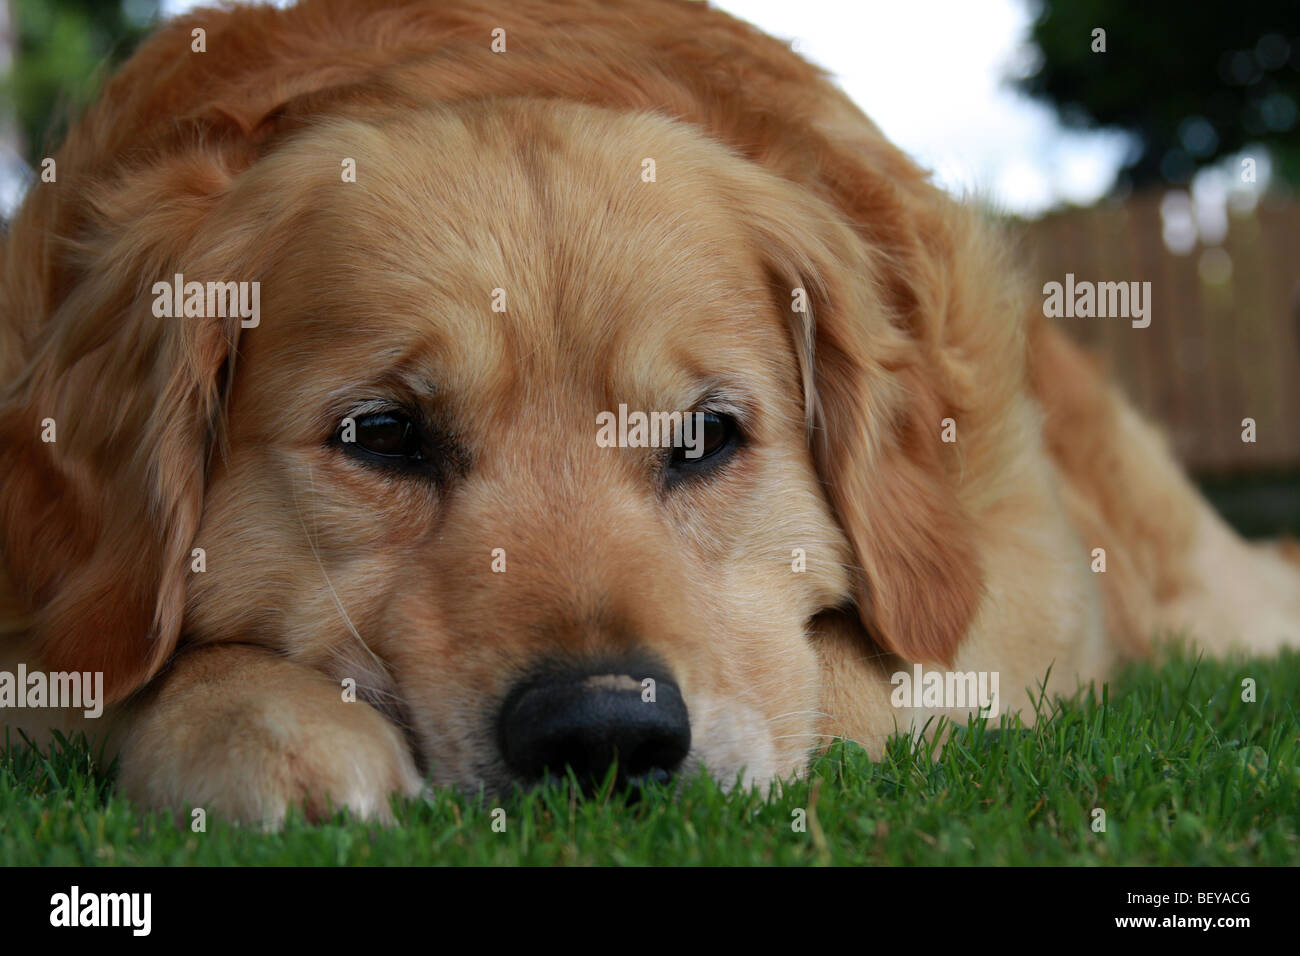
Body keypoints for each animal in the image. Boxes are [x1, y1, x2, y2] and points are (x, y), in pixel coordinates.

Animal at [2, 0, 1300, 822]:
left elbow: (843, 683)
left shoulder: (1015, 587)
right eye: (381, 435)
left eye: (707, 437)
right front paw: (253, 720)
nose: (602, 734)